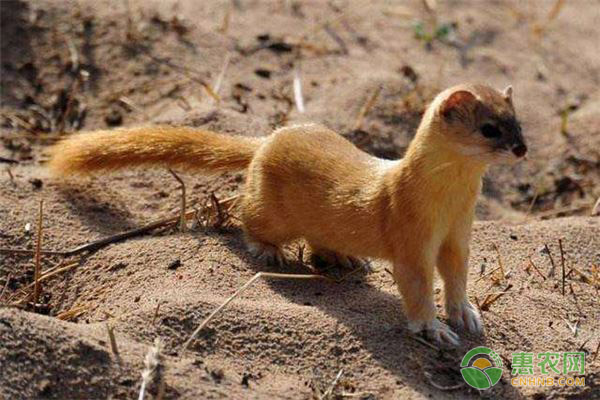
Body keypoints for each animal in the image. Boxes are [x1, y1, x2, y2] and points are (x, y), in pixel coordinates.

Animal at [47, 83, 524, 344]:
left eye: (518, 122)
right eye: (490, 128)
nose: (522, 149)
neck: (448, 205)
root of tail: (269, 138)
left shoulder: (459, 235)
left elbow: (457, 278)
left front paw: (467, 316)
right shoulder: (411, 240)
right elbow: (418, 288)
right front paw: (434, 329)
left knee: (318, 241)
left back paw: (347, 258)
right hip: (270, 211)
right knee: (250, 219)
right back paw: (267, 250)